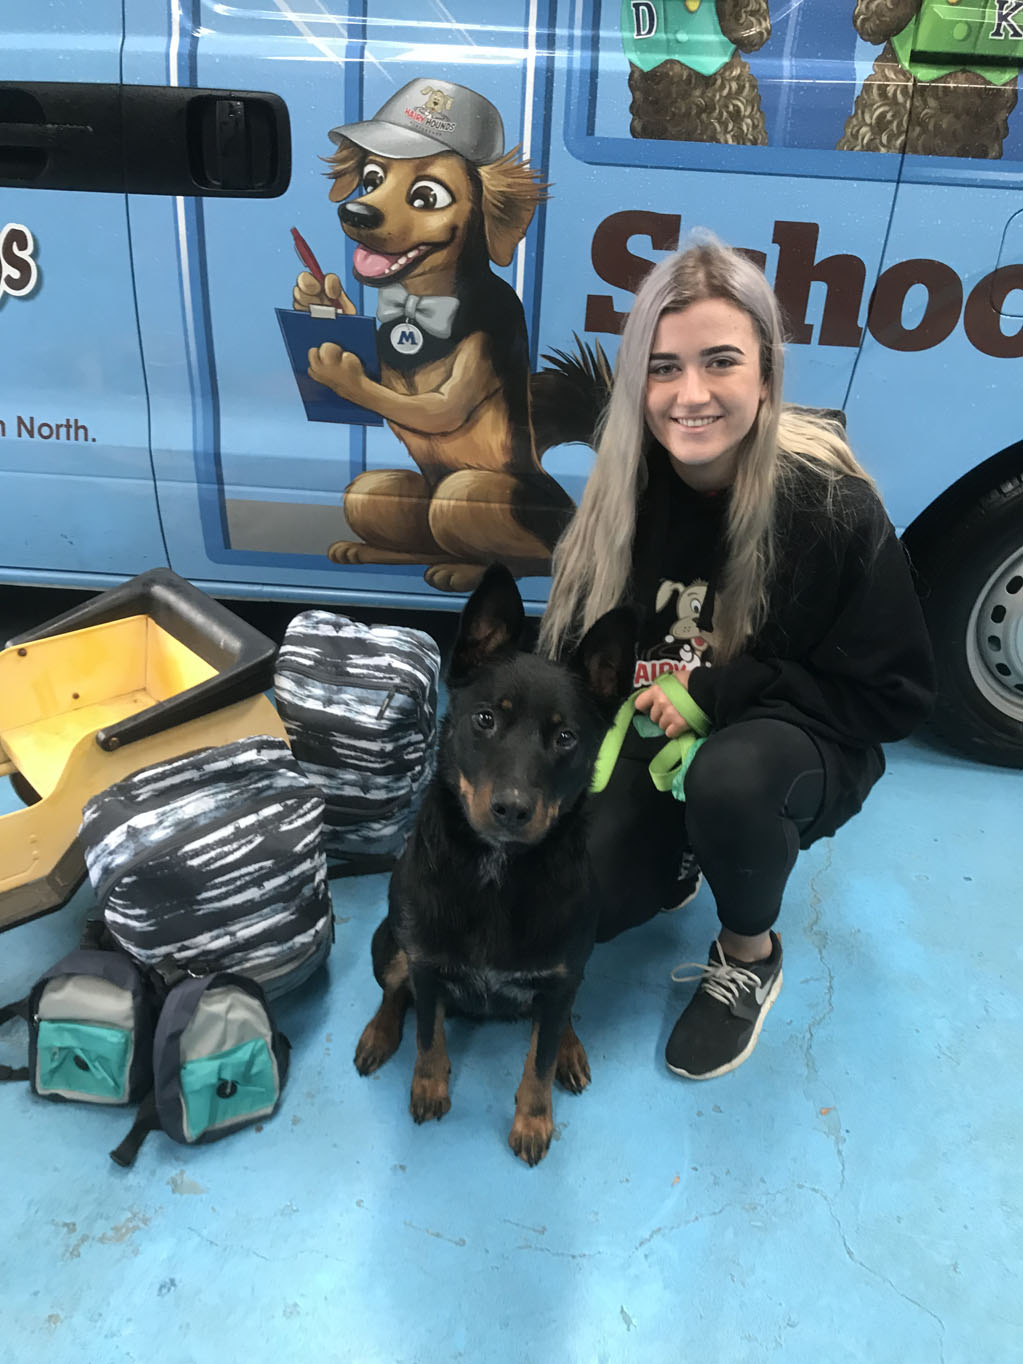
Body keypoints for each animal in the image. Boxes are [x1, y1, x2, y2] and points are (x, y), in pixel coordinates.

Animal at [294, 79, 578, 591]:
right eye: (371, 179)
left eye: (426, 196)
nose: (355, 213)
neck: (423, 301)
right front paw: (320, 295)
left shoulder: (493, 336)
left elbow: (439, 408)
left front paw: (338, 371)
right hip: (382, 494)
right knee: (399, 521)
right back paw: (370, 551)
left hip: (471, 496)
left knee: (533, 558)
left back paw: (465, 570)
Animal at [357, 561, 638, 1162]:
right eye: (484, 719)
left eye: (566, 736)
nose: (511, 808)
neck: (496, 874)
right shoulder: (426, 962)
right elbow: (428, 1033)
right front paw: (429, 1085)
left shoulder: (558, 975)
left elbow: (540, 1057)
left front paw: (533, 1119)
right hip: (388, 939)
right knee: (394, 993)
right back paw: (378, 1034)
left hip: (574, 966)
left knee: (561, 1017)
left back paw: (570, 1048)